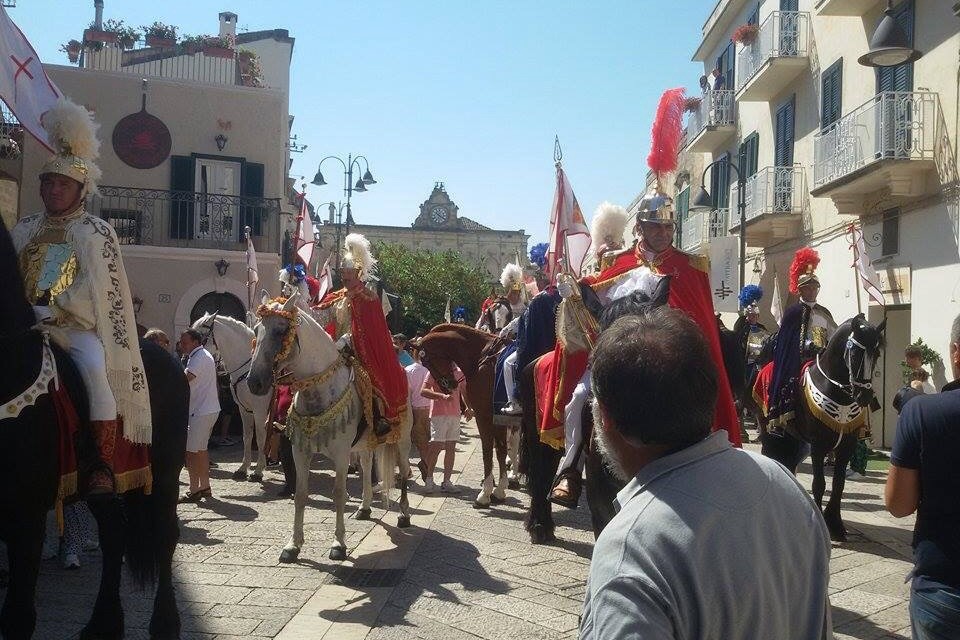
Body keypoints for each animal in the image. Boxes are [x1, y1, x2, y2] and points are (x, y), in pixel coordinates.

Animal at [0, 218, 188, 636]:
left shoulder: (27, 512)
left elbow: (19, 613)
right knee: (114, 533)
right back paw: (104, 623)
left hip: (166, 472)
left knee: (165, 535)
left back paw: (164, 623)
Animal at [192, 312, 272, 482]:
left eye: (200, 335)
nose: (185, 357)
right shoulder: (244, 409)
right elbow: (247, 436)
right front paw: (243, 468)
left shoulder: (260, 409)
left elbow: (260, 437)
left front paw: (258, 471)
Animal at [246, 292, 410, 564]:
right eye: (257, 329)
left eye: (280, 330)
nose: (254, 382)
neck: (318, 389)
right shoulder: (300, 452)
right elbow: (301, 494)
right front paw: (293, 546)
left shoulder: (341, 455)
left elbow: (339, 493)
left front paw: (339, 544)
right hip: (366, 443)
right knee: (367, 466)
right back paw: (365, 508)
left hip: (401, 439)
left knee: (405, 472)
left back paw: (404, 514)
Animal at [412, 328, 510, 508]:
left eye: (427, 362)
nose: (449, 385)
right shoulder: (499, 417)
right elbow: (500, 450)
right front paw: (499, 490)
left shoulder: (484, 415)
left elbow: (488, 450)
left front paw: (485, 494)